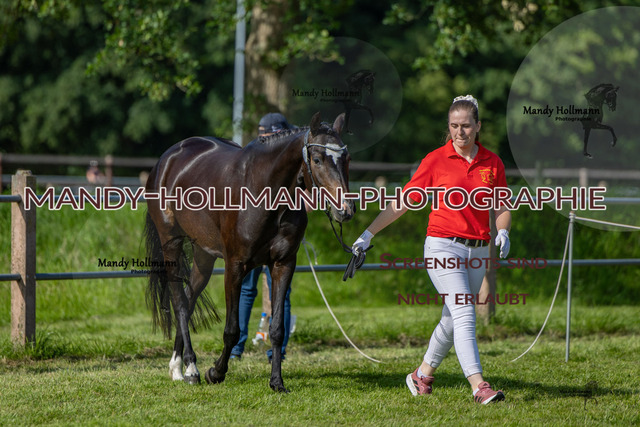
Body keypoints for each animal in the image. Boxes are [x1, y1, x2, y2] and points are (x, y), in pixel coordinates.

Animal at [144, 112, 354, 392]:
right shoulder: (235, 266)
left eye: (347, 159)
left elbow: (277, 328)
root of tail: (167, 158)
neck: (266, 193)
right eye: (317, 159)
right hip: (171, 245)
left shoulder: (283, 264)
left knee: (189, 300)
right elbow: (232, 329)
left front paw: (277, 382)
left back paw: (178, 367)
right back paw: (190, 368)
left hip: (203, 255)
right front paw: (216, 372)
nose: (345, 210)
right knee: (179, 303)